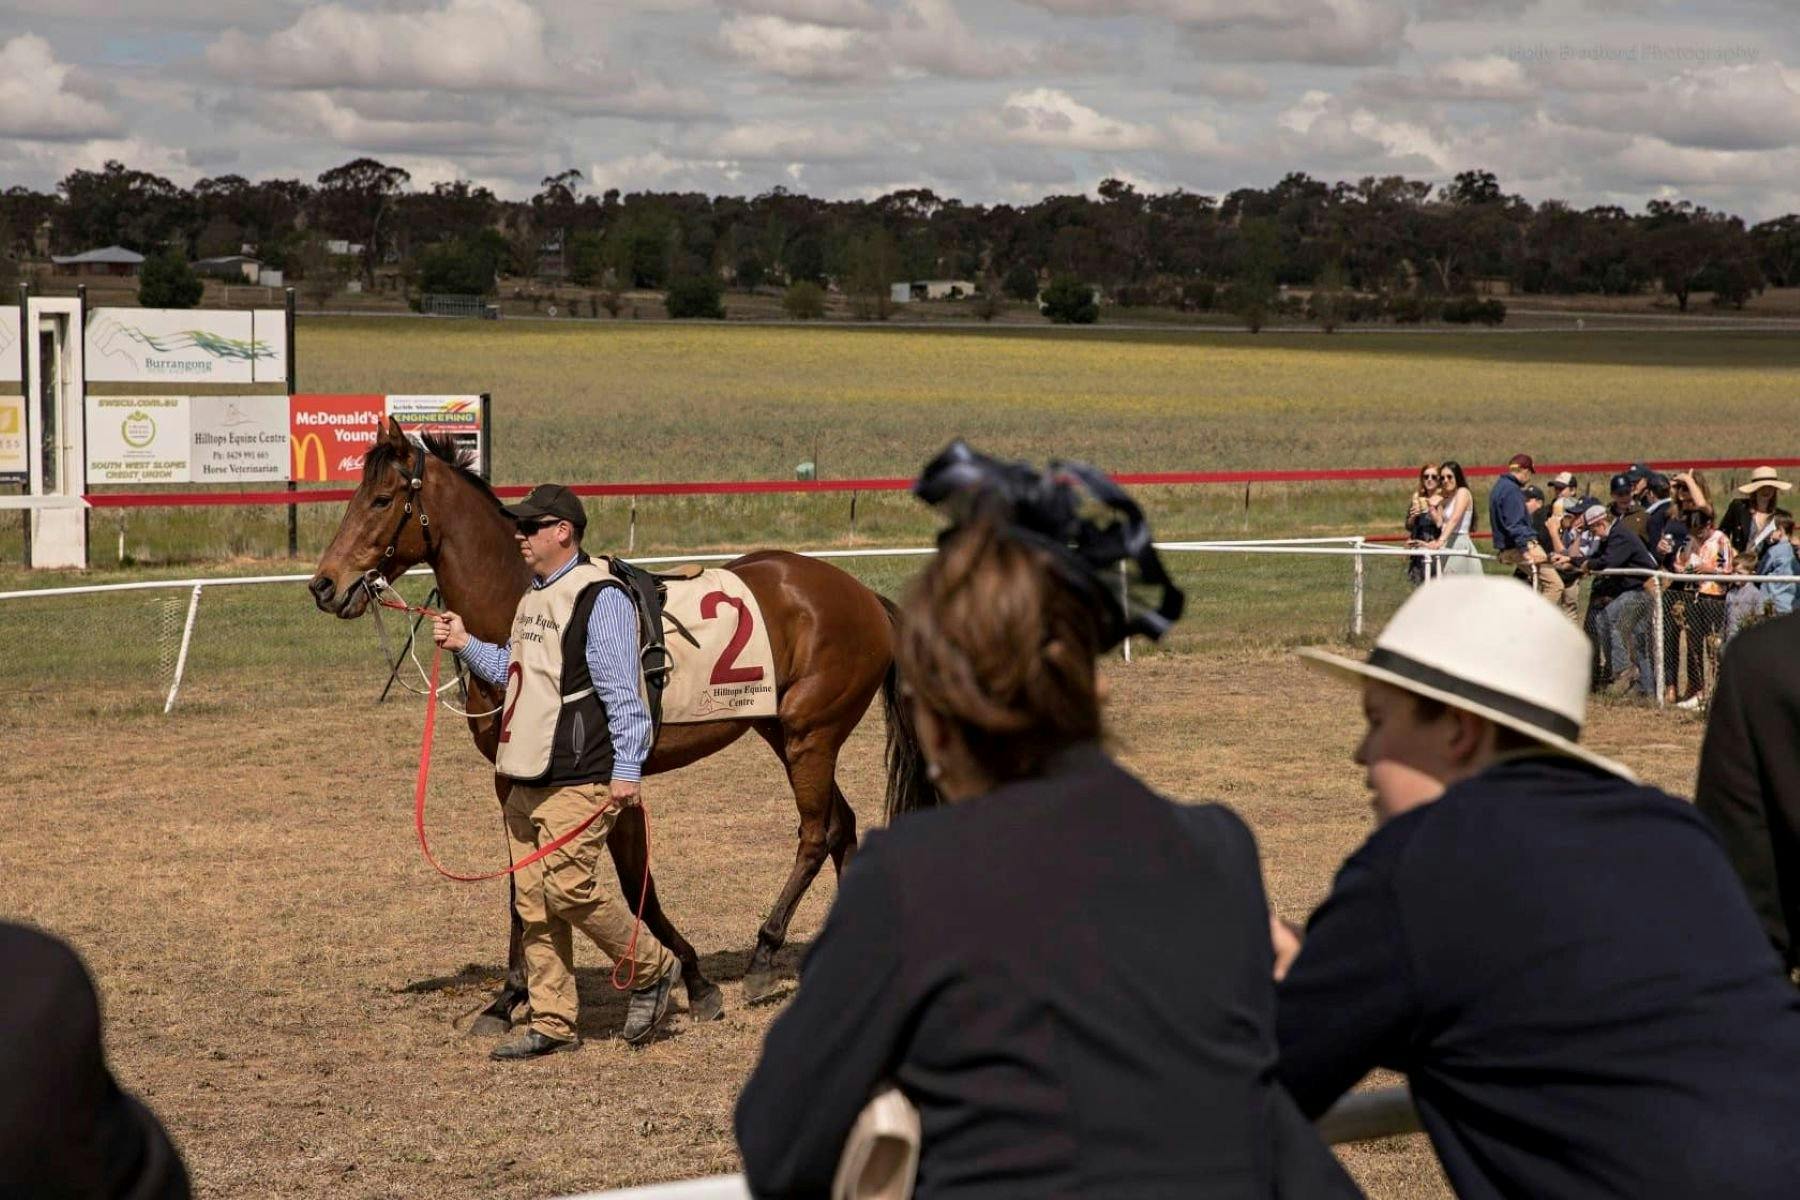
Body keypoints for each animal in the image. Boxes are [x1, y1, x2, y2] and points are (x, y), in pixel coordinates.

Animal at [307, 419, 934, 1032]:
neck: (524, 609)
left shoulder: (611, 782)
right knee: (842, 825)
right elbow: (522, 882)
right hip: (781, 732)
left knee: (816, 833)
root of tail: (862, 595)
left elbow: (636, 885)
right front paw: (507, 998)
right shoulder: (513, 780)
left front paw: (693, 980)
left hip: (810, 734)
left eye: (381, 499)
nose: (324, 585)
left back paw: (762, 957)